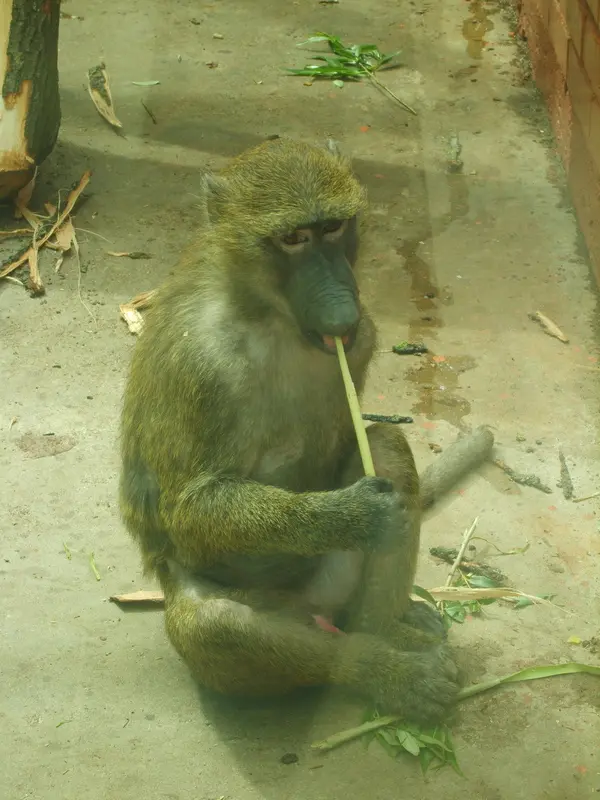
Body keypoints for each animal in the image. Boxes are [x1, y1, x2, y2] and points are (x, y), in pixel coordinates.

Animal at [119, 136, 494, 724]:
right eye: (293, 239)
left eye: (334, 228)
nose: (341, 308)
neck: (266, 315)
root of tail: (310, 607)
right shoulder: (197, 361)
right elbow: (189, 509)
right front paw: (352, 514)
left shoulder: (362, 337)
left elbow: (360, 446)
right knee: (217, 625)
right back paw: (380, 669)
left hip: (334, 583)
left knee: (386, 447)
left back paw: (385, 629)